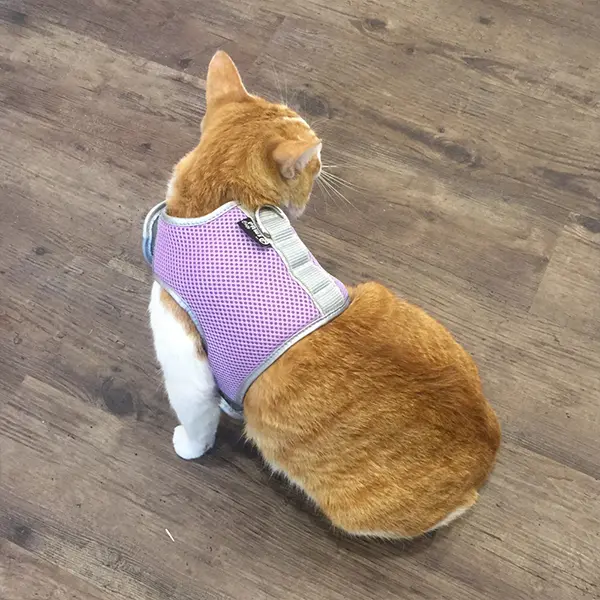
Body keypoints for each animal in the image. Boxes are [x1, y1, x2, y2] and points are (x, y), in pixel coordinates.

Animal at [148, 51, 501, 538]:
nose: (324, 160)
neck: (222, 206)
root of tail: (487, 449)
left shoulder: (187, 369)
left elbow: (197, 422)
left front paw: (188, 445)